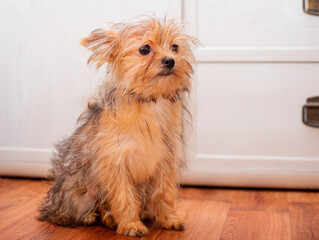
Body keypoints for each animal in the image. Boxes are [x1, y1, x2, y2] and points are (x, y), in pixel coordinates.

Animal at [38, 15, 196, 237]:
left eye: (175, 47)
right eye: (145, 49)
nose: (170, 60)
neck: (149, 102)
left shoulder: (165, 163)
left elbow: (164, 195)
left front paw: (169, 219)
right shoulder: (116, 165)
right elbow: (124, 198)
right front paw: (131, 224)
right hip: (80, 192)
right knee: (75, 211)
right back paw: (94, 217)